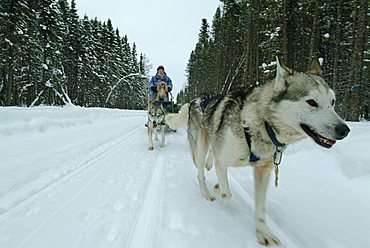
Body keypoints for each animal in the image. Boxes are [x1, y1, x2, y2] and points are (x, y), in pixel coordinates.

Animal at [166, 58, 352, 246]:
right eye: (312, 102)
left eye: (333, 102)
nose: (344, 129)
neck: (262, 123)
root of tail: (194, 100)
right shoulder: (223, 159)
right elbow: (227, 193)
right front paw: (220, 189)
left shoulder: (263, 171)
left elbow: (260, 206)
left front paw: (263, 232)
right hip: (201, 146)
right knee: (200, 172)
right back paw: (206, 192)